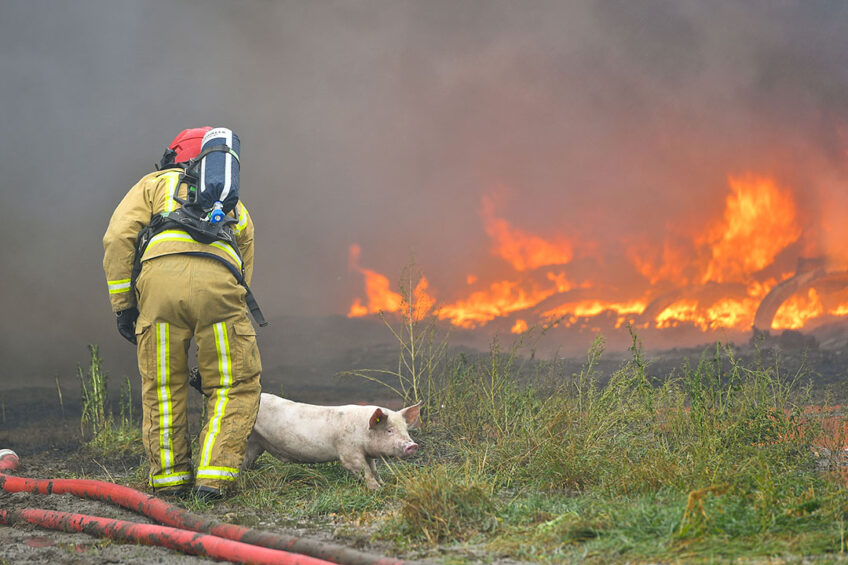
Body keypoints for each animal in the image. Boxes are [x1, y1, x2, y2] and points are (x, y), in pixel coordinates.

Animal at [242, 392, 420, 490]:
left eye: (405, 429)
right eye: (389, 430)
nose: (413, 445)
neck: (362, 430)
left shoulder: (367, 453)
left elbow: (374, 469)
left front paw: (384, 485)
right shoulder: (349, 452)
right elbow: (365, 471)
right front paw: (376, 490)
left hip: (256, 443)